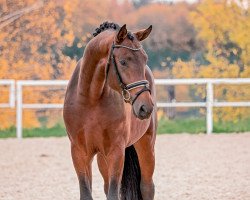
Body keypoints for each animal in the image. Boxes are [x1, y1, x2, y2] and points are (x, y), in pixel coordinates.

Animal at [63, 21, 156, 200]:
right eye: (123, 62)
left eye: (145, 59)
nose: (145, 107)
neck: (91, 98)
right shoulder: (79, 153)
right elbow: (87, 193)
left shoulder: (116, 152)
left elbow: (114, 193)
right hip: (101, 158)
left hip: (146, 144)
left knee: (147, 187)